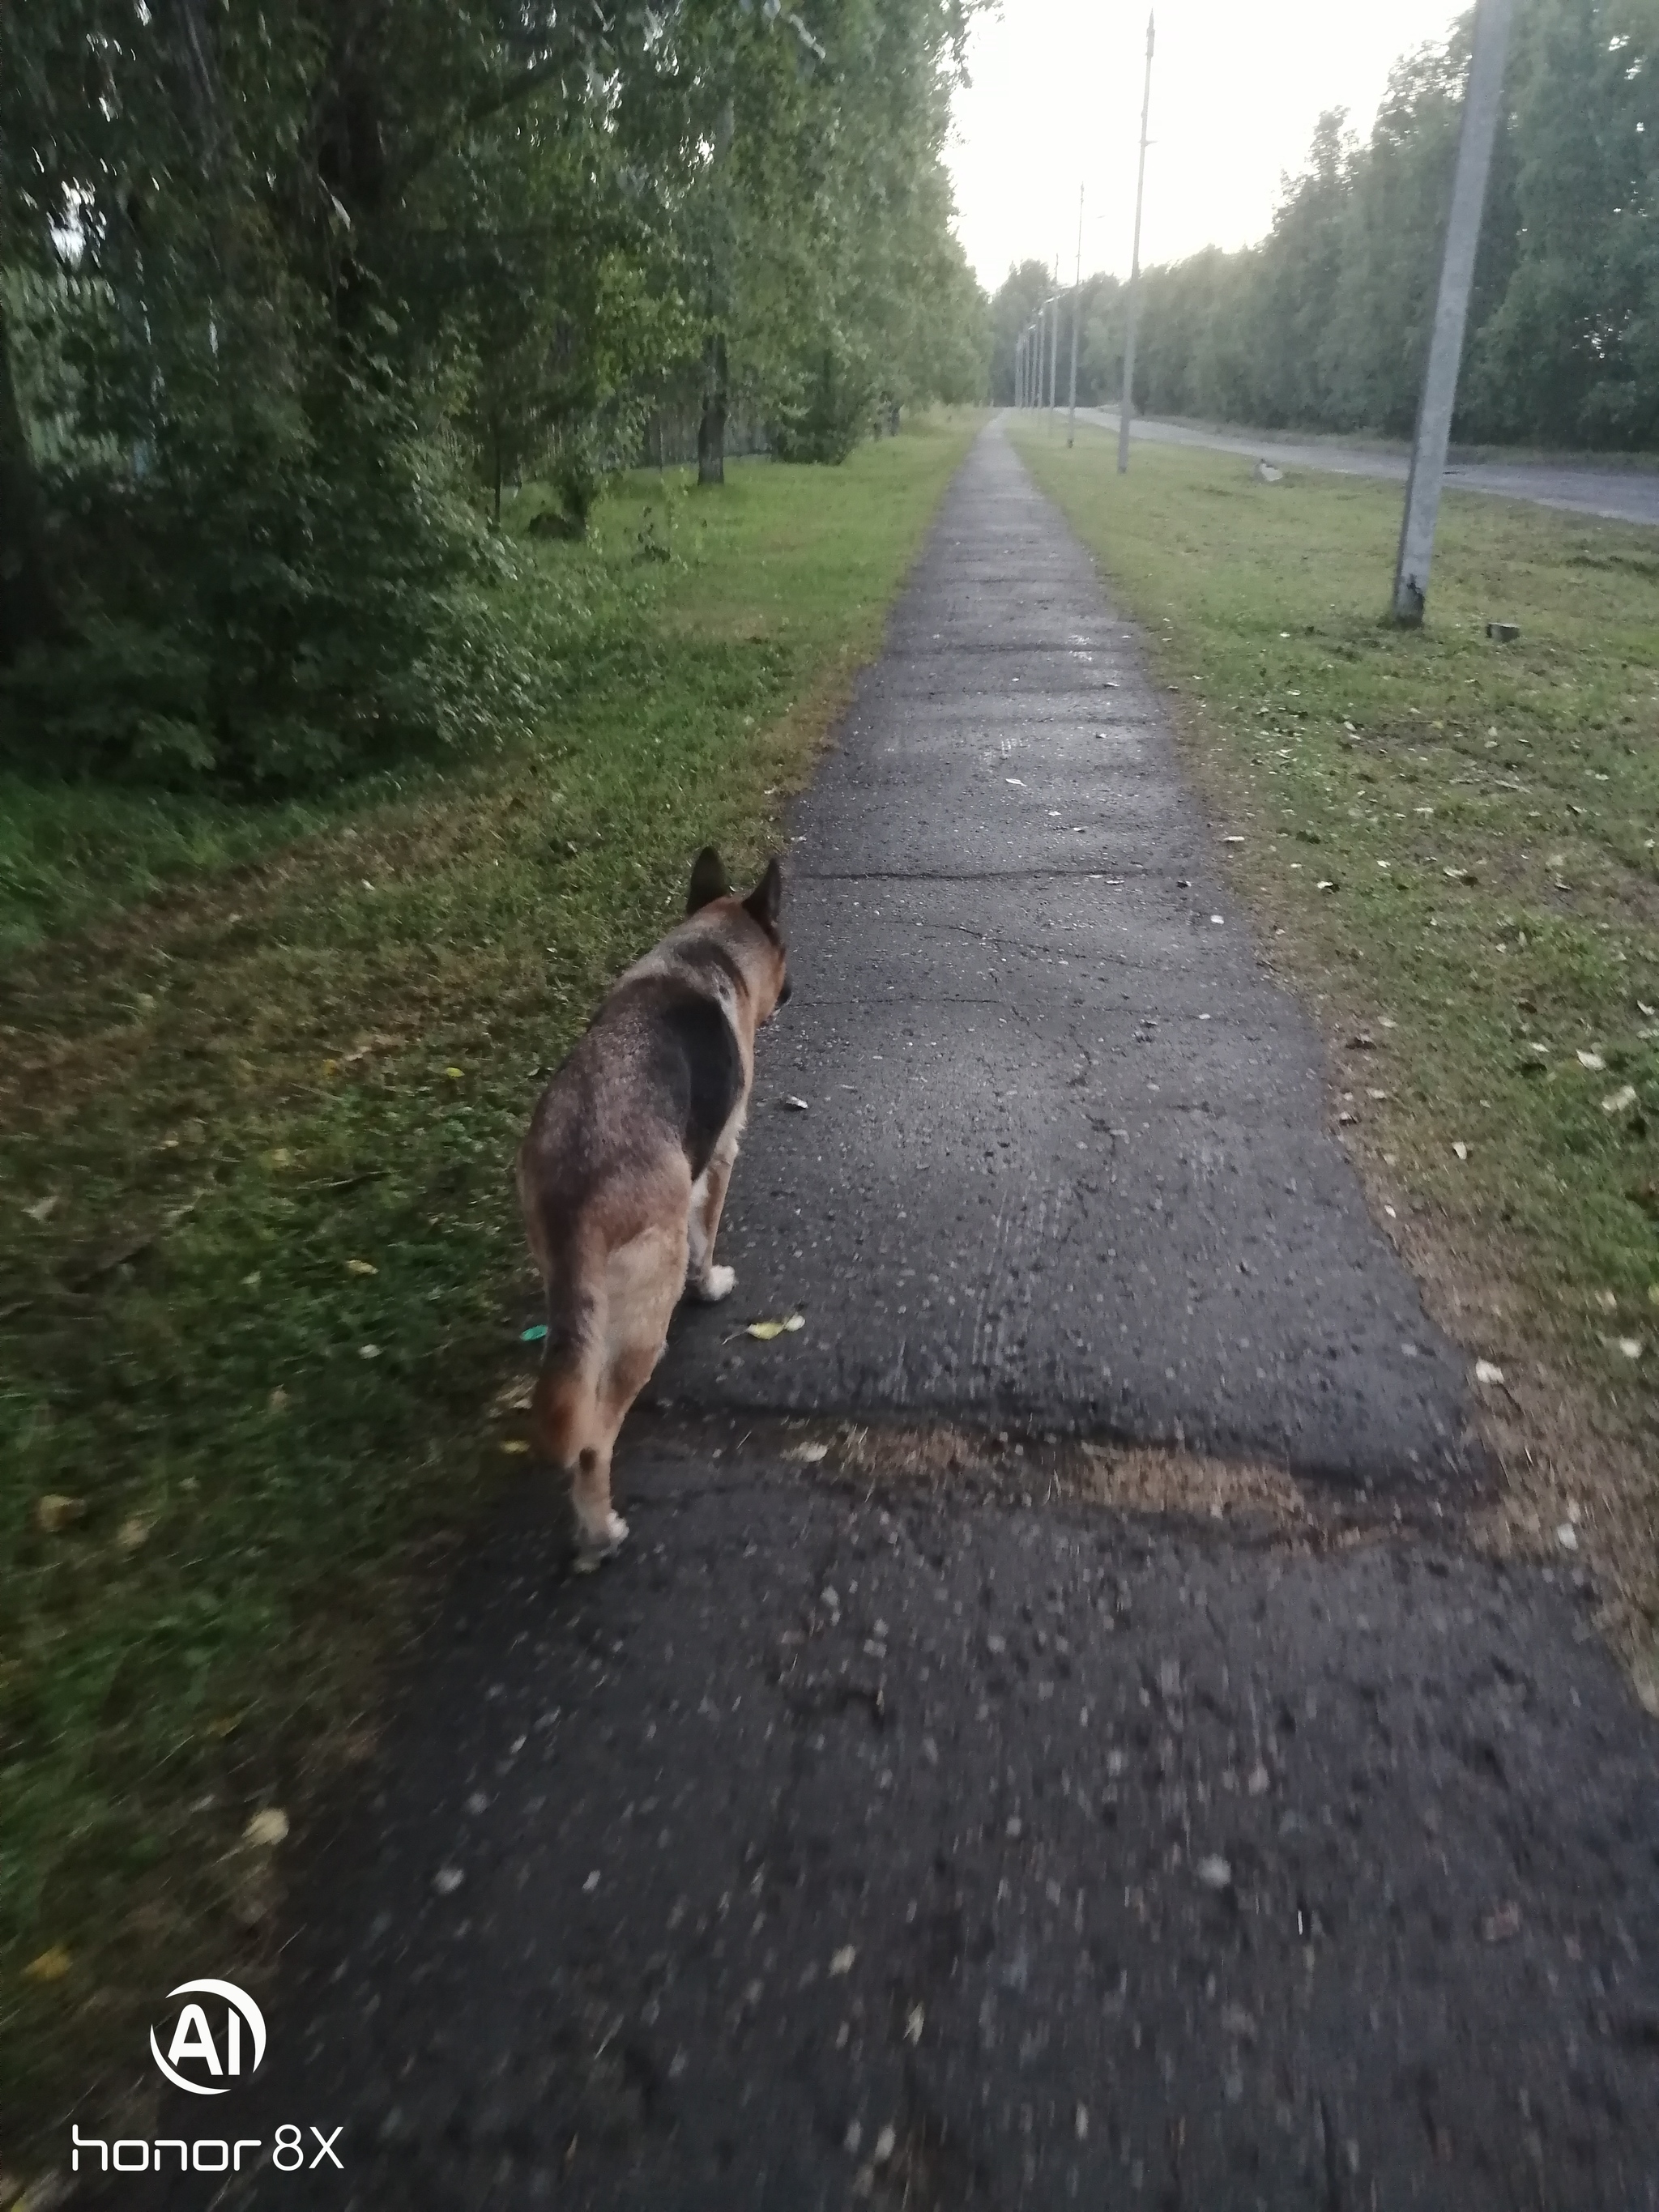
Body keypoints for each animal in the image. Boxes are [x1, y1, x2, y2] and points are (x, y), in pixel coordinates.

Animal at [517, 840, 796, 1557]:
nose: (791, 990)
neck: (706, 951)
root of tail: (580, 1187)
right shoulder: (720, 1156)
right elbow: (708, 1234)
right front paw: (710, 1284)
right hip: (653, 1270)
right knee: (594, 1438)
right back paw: (599, 1529)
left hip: (567, 1282)